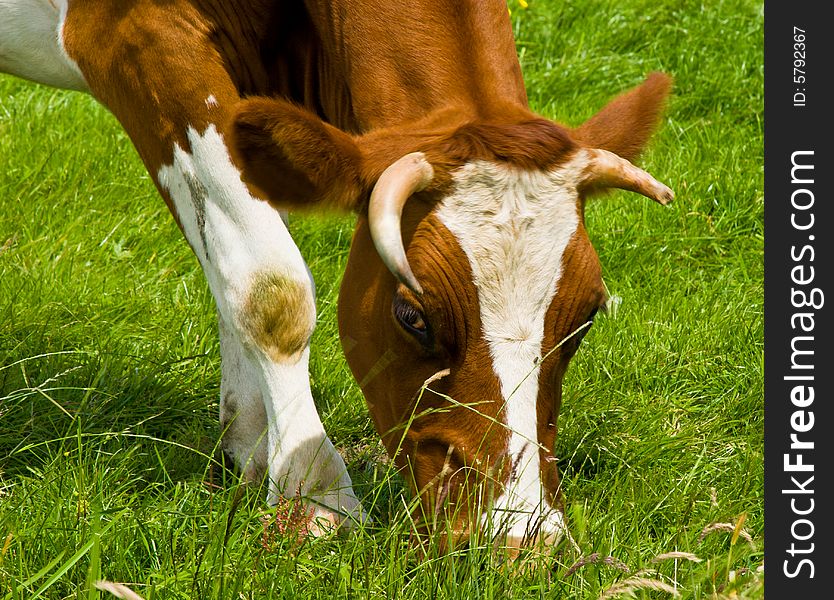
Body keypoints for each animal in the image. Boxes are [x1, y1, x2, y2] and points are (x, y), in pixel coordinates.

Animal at [0, 0, 668, 552]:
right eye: (413, 316)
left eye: (585, 317)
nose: (517, 539)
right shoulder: (134, 37)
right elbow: (270, 285)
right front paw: (314, 497)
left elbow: (227, 260)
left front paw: (250, 452)